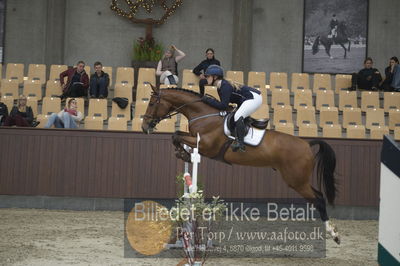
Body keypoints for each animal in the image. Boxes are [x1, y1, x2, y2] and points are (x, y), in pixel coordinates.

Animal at [141, 85, 340, 243]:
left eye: (152, 103)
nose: (144, 127)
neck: (203, 114)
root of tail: (307, 144)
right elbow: (177, 136)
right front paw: (182, 154)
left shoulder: (206, 146)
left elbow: (176, 136)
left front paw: (183, 153)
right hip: (298, 180)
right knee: (318, 195)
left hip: (296, 180)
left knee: (319, 199)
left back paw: (334, 234)